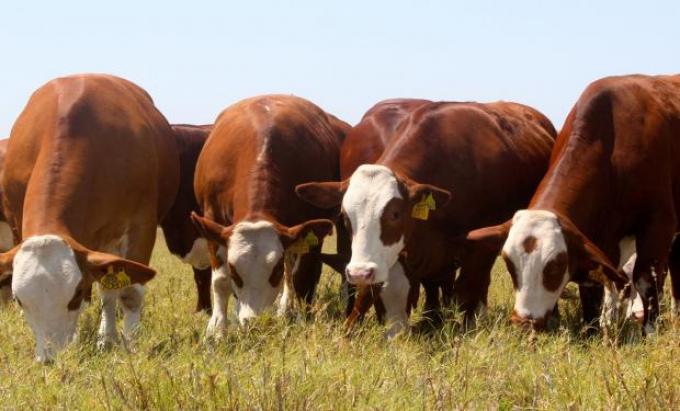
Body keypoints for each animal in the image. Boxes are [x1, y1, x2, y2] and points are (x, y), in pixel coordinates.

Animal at [0, 75, 179, 364]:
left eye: (76, 294)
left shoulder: (141, 224)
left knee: (110, 291)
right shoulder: (16, 224)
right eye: (19, 299)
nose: (49, 359)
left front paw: (131, 346)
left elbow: (129, 293)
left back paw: (107, 338)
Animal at [193, 95, 348, 336]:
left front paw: (302, 322)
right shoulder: (212, 219)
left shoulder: (308, 229)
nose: (254, 322)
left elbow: (301, 277)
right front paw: (217, 329)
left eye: (273, 271)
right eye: (235, 270)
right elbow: (220, 281)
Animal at [294, 100, 556, 328]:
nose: (359, 272)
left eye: (395, 213)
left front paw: (465, 326)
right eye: (346, 216)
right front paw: (431, 320)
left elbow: (468, 286)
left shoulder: (478, 246)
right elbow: (427, 286)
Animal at [468, 75, 680, 338]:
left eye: (555, 267)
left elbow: (646, 280)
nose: (524, 322)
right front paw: (593, 328)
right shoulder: (594, 238)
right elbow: (594, 284)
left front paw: (649, 330)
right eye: (508, 263)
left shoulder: (659, 224)